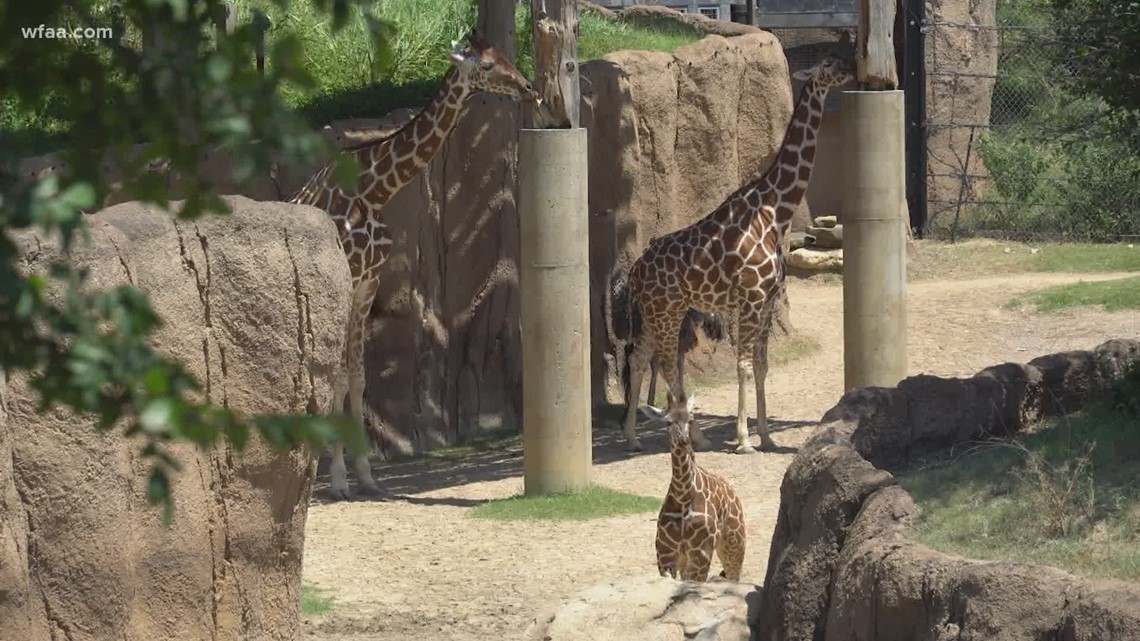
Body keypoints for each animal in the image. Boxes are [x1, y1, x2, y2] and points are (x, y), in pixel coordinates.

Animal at [287, 34, 536, 500]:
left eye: (503, 57)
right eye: (487, 66)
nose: (528, 87)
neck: (373, 192)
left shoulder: (367, 285)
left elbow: (356, 378)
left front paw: (366, 476)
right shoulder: (348, 281)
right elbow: (338, 378)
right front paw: (338, 481)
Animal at [622, 54, 854, 453]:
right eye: (827, 64)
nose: (850, 69)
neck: (777, 211)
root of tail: (635, 272)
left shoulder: (768, 300)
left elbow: (761, 365)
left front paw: (766, 436)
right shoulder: (750, 297)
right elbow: (743, 365)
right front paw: (744, 438)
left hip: (656, 313)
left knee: (639, 359)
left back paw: (634, 437)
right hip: (668, 311)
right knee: (665, 363)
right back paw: (695, 434)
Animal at [655, 393, 746, 582]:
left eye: (690, 420)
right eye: (668, 422)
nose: (683, 441)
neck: (683, 496)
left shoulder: (700, 554)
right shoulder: (666, 556)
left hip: (734, 546)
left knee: (734, 576)